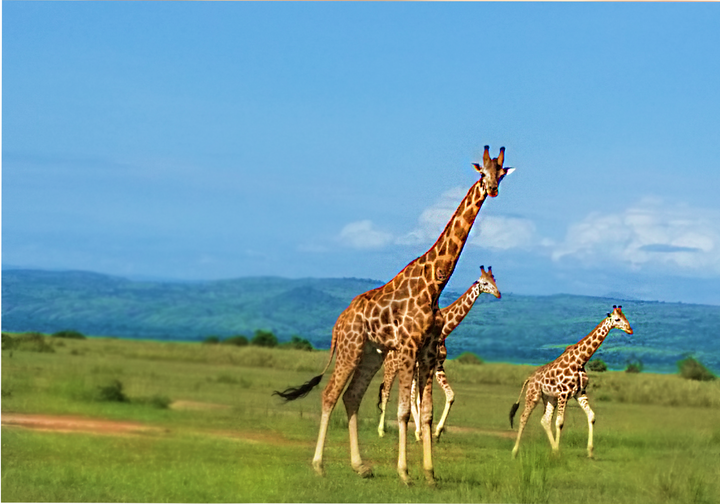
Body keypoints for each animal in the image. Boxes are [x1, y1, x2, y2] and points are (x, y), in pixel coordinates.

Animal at [376, 265, 501, 441]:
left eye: (494, 280)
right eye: (484, 283)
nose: (498, 293)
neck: (444, 331)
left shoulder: (438, 366)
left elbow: (449, 395)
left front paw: (436, 432)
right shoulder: (426, 365)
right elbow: (420, 399)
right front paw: (424, 432)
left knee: (408, 396)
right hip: (392, 365)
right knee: (385, 392)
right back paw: (381, 430)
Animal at [509, 305, 633, 459]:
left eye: (625, 316)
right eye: (617, 319)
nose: (630, 329)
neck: (580, 361)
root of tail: (529, 378)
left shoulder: (579, 392)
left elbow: (591, 416)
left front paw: (590, 451)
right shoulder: (564, 393)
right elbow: (560, 422)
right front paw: (558, 453)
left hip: (549, 397)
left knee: (545, 420)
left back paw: (552, 449)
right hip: (533, 394)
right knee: (523, 417)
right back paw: (515, 452)